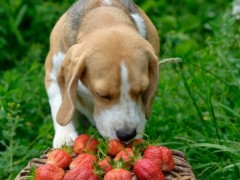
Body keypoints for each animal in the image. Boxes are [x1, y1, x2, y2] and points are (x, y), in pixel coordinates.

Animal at [45, 0, 159, 148]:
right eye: (102, 95)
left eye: (142, 91)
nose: (127, 134)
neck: (105, 14)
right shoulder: (52, 74)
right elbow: (59, 102)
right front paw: (65, 136)